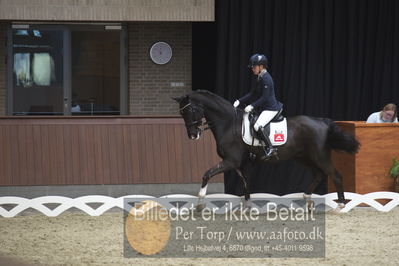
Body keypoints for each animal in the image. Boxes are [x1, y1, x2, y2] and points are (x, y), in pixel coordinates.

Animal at [173, 90, 360, 211]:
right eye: (181, 113)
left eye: (191, 110)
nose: (193, 135)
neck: (227, 124)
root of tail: (322, 121)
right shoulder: (239, 164)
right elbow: (246, 185)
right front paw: (248, 207)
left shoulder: (231, 161)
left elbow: (207, 174)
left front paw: (200, 200)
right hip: (303, 157)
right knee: (319, 174)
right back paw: (307, 197)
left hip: (320, 156)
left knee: (335, 175)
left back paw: (340, 205)